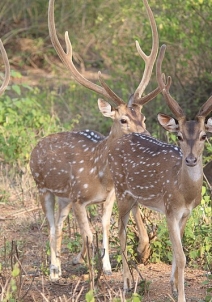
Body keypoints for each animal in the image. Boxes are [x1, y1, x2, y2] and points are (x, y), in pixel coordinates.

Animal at [29, 0, 159, 282]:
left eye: (143, 116)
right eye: (123, 119)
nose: (147, 136)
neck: (101, 175)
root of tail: (35, 147)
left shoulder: (107, 198)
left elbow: (106, 230)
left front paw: (107, 268)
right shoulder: (79, 199)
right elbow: (88, 235)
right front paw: (91, 272)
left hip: (63, 198)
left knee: (59, 227)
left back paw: (61, 266)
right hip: (43, 188)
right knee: (52, 226)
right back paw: (54, 271)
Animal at [108, 43, 212, 300]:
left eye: (204, 136)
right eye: (179, 136)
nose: (191, 159)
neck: (184, 192)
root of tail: (116, 142)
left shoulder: (186, 213)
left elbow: (177, 252)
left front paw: (173, 286)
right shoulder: (169, 209)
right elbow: (182, 257)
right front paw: (181, 295)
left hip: (133, 197)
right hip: (121, 191)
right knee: (120, 231)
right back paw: (126, 284)